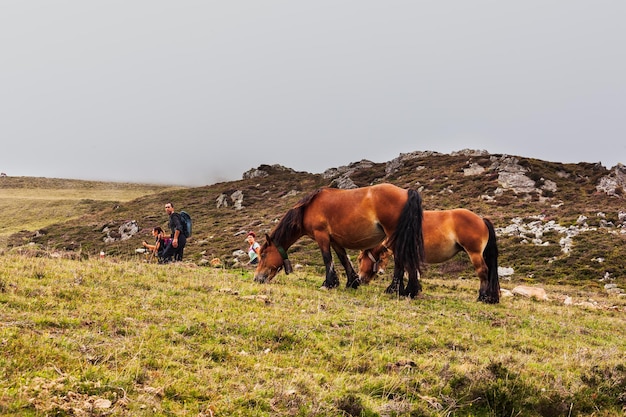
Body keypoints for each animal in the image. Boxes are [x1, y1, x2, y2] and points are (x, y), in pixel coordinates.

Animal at [356, 208, 498, 302]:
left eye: (359, 259)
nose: (360, 278)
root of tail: (481, 220)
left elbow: (400, 270)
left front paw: (394, 290)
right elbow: (410, 271)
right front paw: (411, 290)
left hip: (475, 254)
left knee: (483, 271)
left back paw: (482, 297)